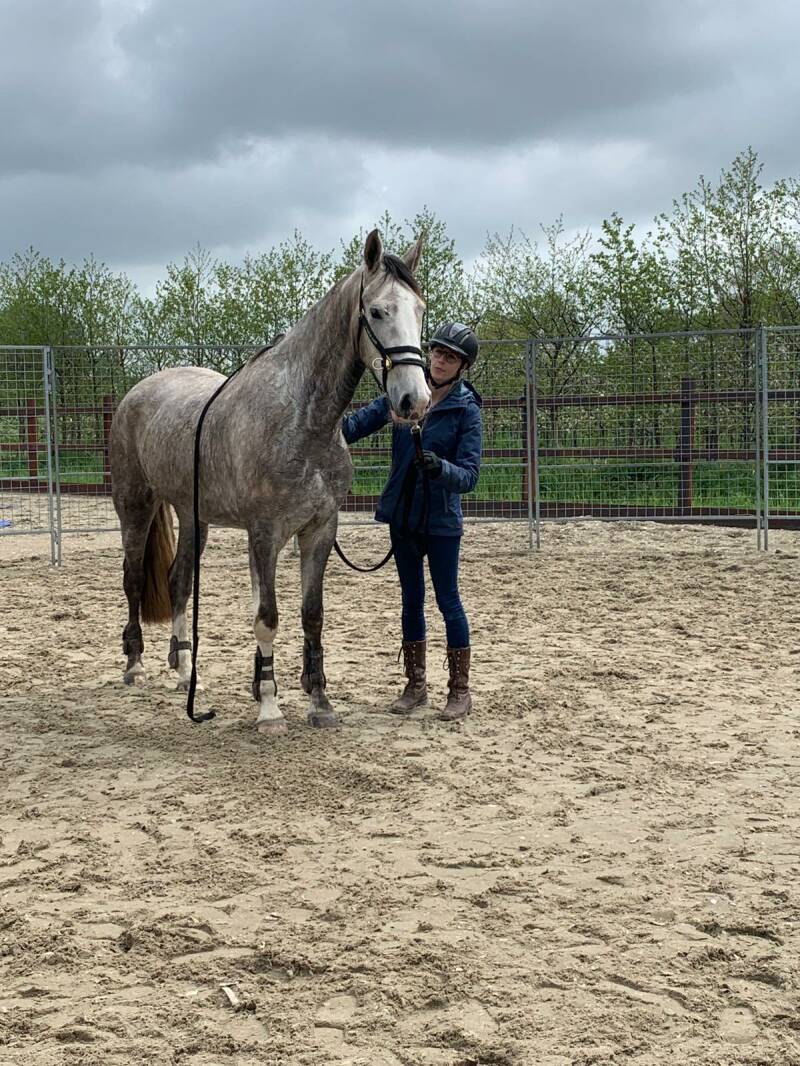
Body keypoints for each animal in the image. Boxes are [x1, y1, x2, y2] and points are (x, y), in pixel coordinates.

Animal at [109, 230, 430, 736]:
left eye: (420, 310)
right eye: (378, 311)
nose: (413, 400)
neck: (303, 419)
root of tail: (137, 393)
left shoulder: (319, 529)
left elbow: (312, 616)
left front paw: (320, 703)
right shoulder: (264, 533)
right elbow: (267, 617)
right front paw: (269, 708)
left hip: (193, 517)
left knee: (179, 582)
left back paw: (184, 673)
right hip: (135, 507)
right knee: (135, 579)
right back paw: (135, 666)